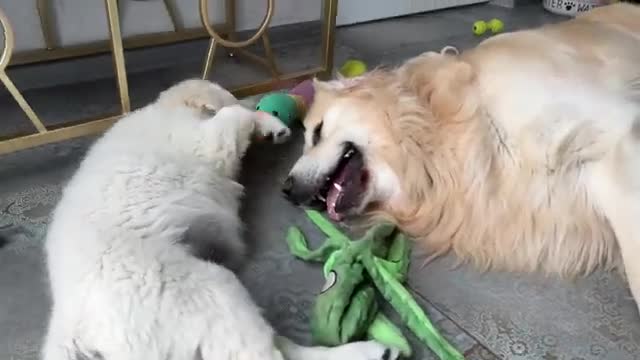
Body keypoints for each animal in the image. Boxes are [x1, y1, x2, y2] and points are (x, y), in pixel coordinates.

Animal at [41, 79, 400, 360]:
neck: (168, 110)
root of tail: (70, 328)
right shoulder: (208, 141)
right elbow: (232, 112)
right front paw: (259, 117)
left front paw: (268, 124)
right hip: (210, 290)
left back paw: (373, 350)